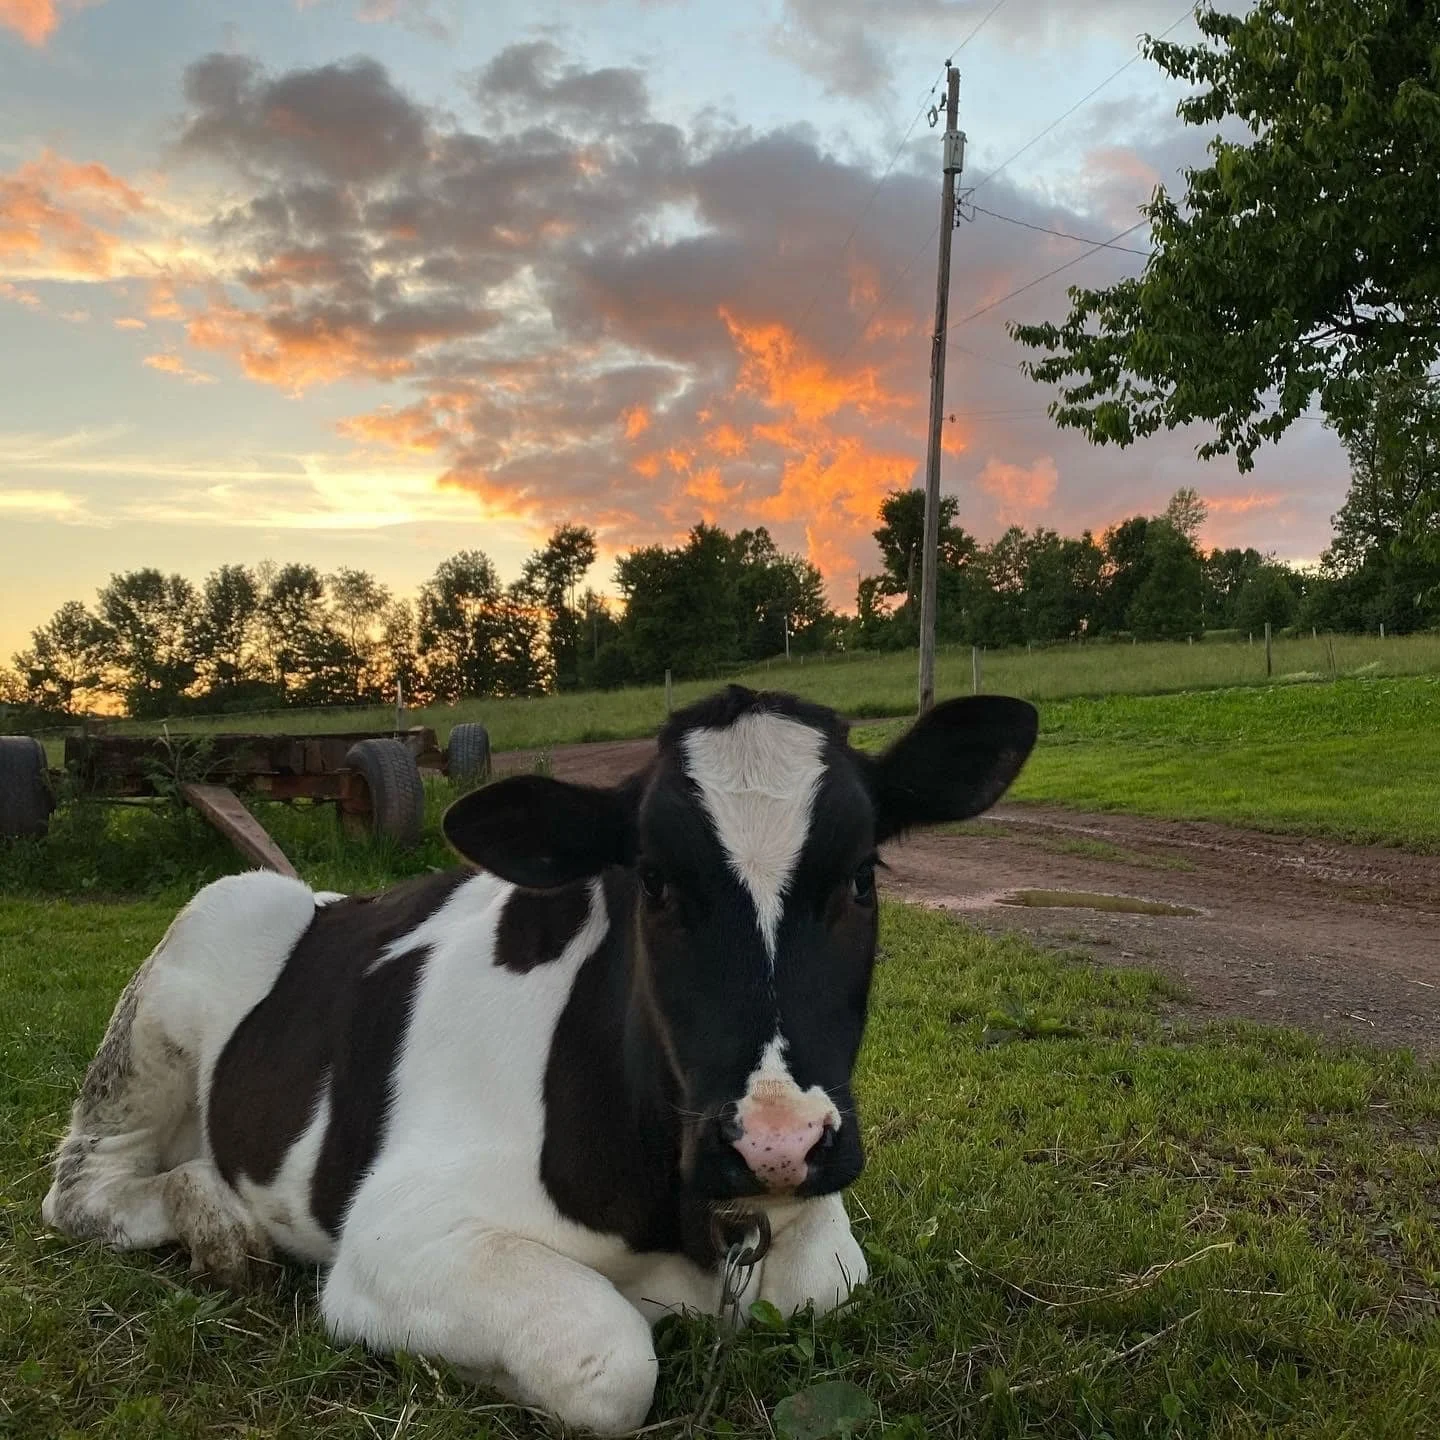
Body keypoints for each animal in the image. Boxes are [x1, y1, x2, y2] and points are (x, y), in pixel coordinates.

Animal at [43, 686, 1037, 1434]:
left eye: (863, 877)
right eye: (655, 881)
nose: (776, 1144)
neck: (678, 1220)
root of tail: (318, 894)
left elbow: (817, 1285)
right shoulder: (394, 1237)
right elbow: (608, 1360)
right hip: (186, 967)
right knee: (86, 1185)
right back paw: (216, 1223)